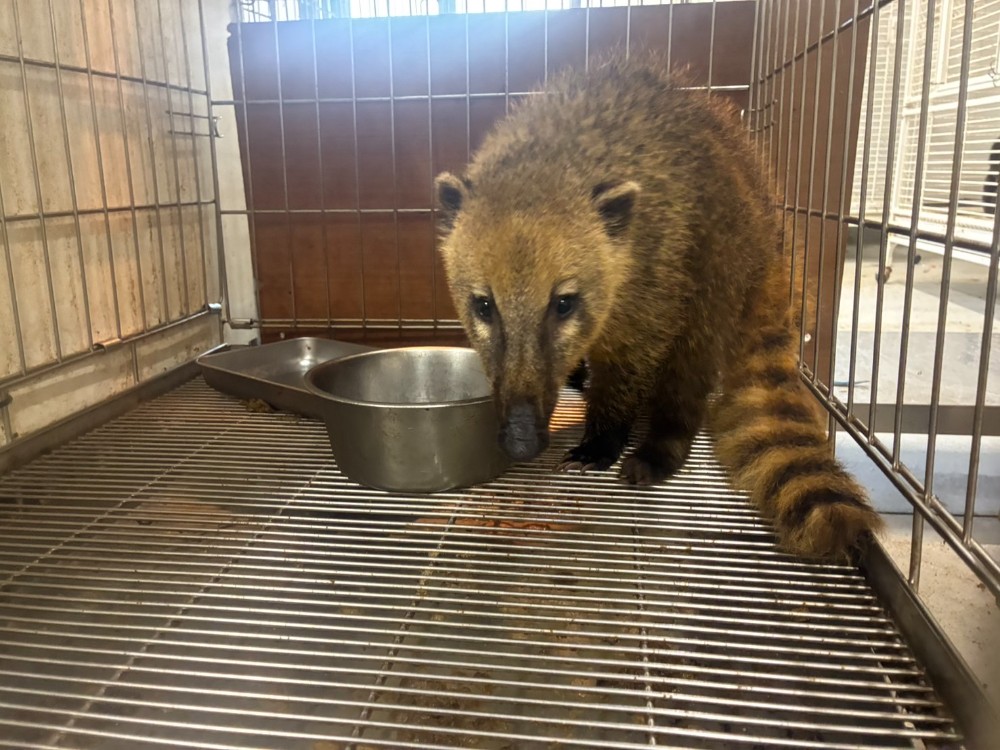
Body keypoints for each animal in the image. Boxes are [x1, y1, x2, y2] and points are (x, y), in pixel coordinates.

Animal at [433, 52, 882, 559]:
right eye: (484, 306)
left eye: (564, 304)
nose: (521, 440)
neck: (547, 161)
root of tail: (768, 231)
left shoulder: (655, 263)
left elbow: (636, 354)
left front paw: (605, 434)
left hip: (717, 269)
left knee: (691, 364)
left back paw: (664, 440)